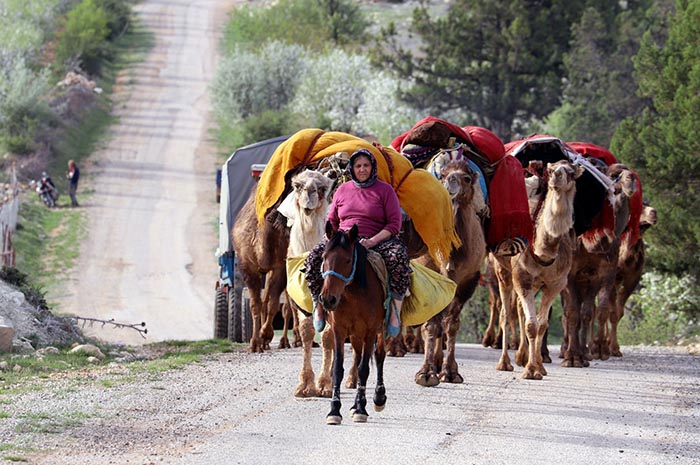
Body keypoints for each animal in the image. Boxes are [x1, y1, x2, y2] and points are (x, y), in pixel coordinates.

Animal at [322, 222, 388, 424]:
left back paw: (378, 398)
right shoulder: (339, 330)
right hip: (355, 335)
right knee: (358, 358)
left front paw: (361, 409)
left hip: (380, 330)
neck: (353, 295)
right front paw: (334, 410)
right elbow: (338, 369)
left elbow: (365, 369)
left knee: (379, 355)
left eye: (347, 260)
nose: (328, 299)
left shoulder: (371, 331)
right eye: (324, 258)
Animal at [412, 160, 484, 384]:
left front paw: (451, 371)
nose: (451, 181)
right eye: (442, 175)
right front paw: (426, 373)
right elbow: (432, 325)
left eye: (466, 178)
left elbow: (452, 324)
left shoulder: (469, 281)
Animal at [492, 159, 584, 376]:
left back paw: (524, 357)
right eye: (550, 170)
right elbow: (531, 324)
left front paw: (538, 367)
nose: (556, 177)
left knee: (519, 309)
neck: (544, 252)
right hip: (503, 271)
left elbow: (541, 324)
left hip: (535, 284)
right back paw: (505, 363)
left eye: (571, 172)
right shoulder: (522, 278)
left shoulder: (556, 284)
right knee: (506, 314)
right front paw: (530, 370)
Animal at [556, 163, 640, 366]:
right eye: (615, 176)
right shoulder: (570, 275)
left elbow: (594, 311)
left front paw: (595, 351)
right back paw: (564, 349)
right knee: (566, 311)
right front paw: (572, 356)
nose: (631, 179)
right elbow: (572, 312)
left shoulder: (601, 274)